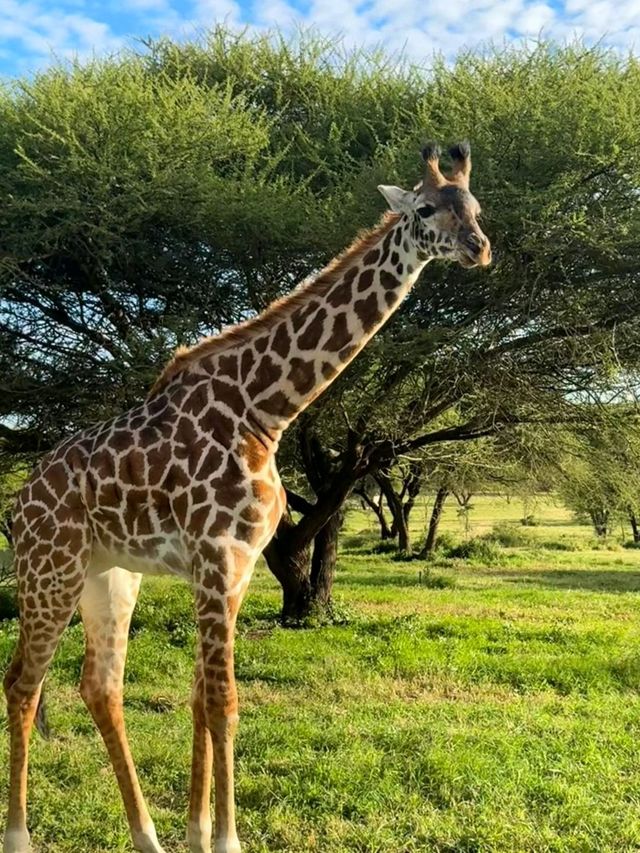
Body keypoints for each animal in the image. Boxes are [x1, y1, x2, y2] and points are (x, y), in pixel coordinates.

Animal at [3, 140, 490, 852]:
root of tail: (19, 503)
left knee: (99, 687)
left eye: (476, 207)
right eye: (427, 209)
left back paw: (146, 837)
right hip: (49, 570)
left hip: (109, 574)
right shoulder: (217, 556)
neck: (267, 411)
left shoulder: (238, 566)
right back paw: (20, 836)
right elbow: (224, 702)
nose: (479, 248)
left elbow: (202, 699)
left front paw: (197, 833)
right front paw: (225, 838)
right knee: (23, 684)